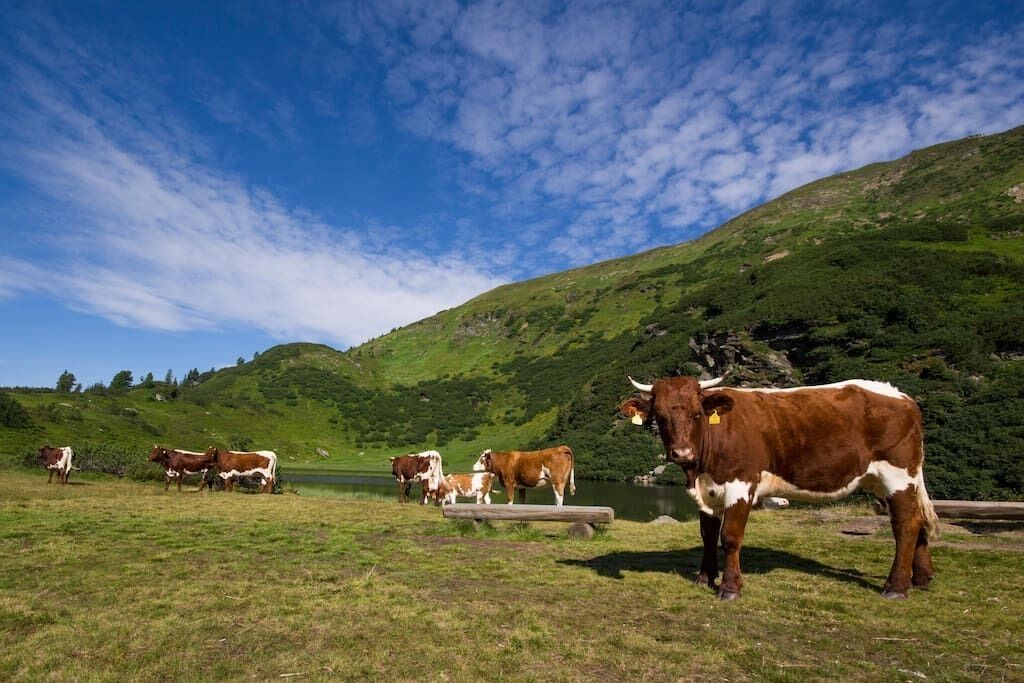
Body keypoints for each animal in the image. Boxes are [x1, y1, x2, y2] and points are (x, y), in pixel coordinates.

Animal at [620, 374, 939, 600]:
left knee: (906, 525)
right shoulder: (707, 491)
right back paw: (921, 579)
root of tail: (902, 396)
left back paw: (896, 587)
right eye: (661, 417)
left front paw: (730, 588)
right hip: (889, 480)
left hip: (898, 475)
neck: (699, 471)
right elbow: (708, 535)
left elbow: (730, 537)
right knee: (918, 520)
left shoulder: (741, 483)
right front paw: (704, 578)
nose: (682, 453)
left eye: (697, 413)